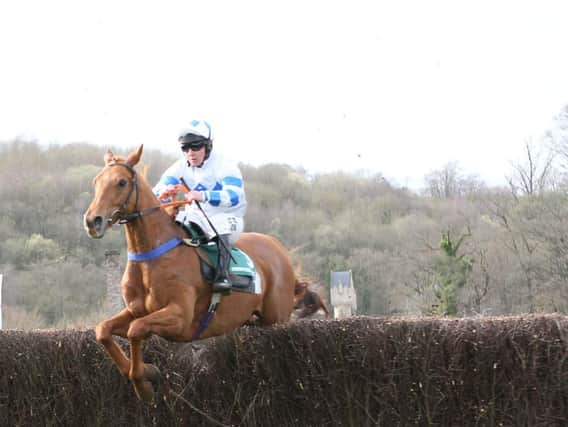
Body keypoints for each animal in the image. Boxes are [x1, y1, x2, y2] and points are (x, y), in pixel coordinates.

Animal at [82, 145, 304, 402]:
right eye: (96, 181)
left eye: (121, 182)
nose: (93, 221)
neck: (153, 255)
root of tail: (278, 249)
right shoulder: (136, 310)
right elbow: (104, 330)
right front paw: (146, 372)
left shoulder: (180, 318)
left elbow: (135, 329)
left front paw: (143, 382)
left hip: (277, 318)